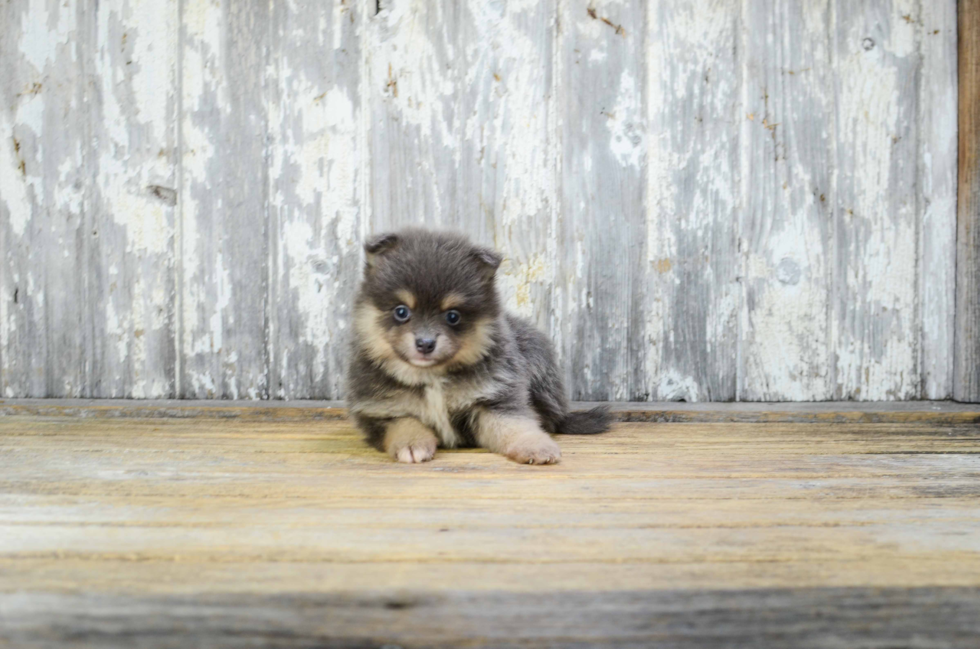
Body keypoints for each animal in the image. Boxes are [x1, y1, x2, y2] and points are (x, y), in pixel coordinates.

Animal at [342, 227, 604, 460]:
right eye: (401, 311)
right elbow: (405, 423)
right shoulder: (380, 411)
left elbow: (516, 425)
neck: (431, 379)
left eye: (453, 316)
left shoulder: (493, 399)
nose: (425, 343)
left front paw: (535, 446)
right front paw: (412, 444)